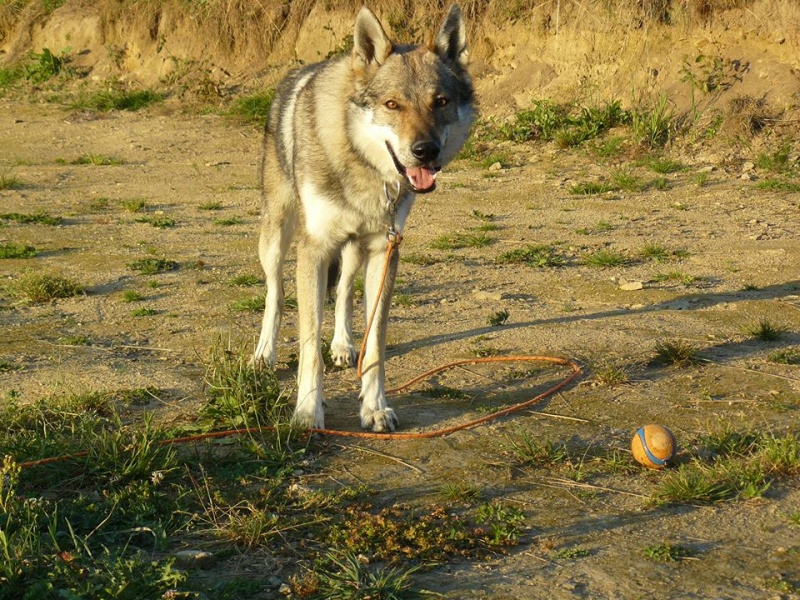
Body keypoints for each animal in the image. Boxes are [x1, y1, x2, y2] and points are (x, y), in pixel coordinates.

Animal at [253, 4, 472, 432]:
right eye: (392, 105)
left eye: (440, 101)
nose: (426, 151)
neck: (366, 171)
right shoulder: (314, 249)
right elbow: (309, 346)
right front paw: (308, 410)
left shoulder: (384, 250)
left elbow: (375, 346)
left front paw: (374, 407)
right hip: (277, 236)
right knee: (276, 293)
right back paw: (264, 353)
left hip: (354, 250)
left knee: (343, 292)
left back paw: (342, 345)